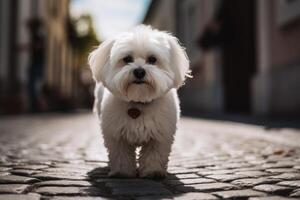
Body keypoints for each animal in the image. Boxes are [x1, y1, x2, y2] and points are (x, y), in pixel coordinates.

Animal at [88, 24, 190, 178]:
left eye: (152, 59)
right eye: (127, 59)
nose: (139, 71)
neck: (139, 101)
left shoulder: (159, 137)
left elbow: (154, 155)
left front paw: (153, 172)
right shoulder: (117, 136)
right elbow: (121, 155)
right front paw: (122, 172)